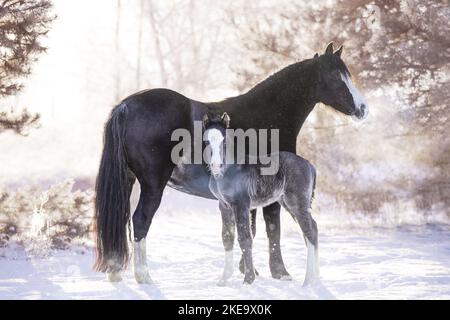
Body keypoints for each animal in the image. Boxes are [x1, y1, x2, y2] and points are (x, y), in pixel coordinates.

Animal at [93, 43, 368, 282]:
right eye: (335, 77)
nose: (363, 109)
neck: (266, 116)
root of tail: (126, 107)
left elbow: (250, 230)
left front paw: (249, 270)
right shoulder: (270, 194)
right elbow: (271, 229)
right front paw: (278, 272)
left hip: (127, 180)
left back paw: (116, 272)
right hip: (153, 185)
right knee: (140, 221)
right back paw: (144, 277)